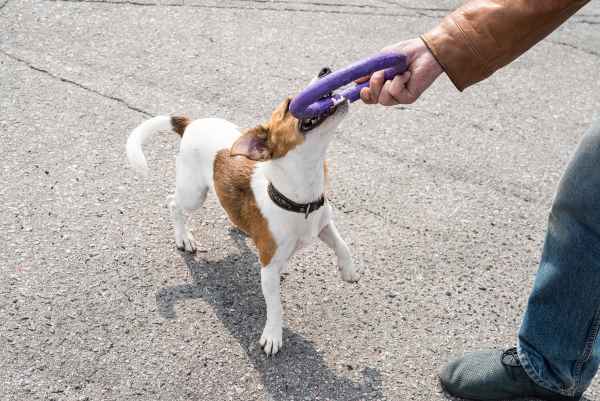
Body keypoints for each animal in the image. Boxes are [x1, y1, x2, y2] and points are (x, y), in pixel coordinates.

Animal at [126, 70, 358, 354]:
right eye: (289, 104)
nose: (325, 71)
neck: (300, 198)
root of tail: (190, 124)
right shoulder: (268, 270)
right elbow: (275, 306)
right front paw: (273, 335)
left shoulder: (323, 223)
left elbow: (341, 243)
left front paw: (348, 270)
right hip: (194, 194)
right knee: (173, 203)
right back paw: (184, 238)